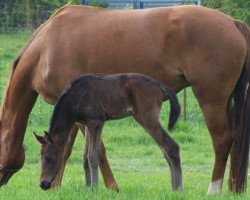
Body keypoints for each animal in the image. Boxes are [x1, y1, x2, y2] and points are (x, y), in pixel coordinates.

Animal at [34, 73, 182, 191]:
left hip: (147, 119)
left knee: (171, 147)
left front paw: (94, 188)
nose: (42, 184)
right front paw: (88, 187)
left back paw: (179, 189)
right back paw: (174, 188)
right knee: (165, 150)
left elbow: (93, 156)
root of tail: (160, 85)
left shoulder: (96, 122)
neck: (75, 96)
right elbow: (85, 156)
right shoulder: (87, 125)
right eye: (40, 157)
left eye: (49, 157)